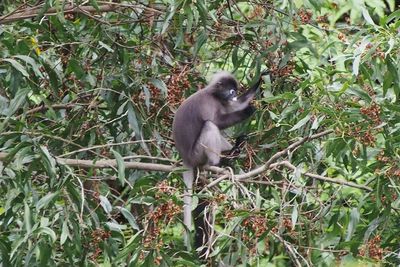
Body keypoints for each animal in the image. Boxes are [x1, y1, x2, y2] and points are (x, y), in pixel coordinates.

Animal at [171, 70, 268, 254]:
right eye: (231, 90)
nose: (233, 94)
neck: (214, 95)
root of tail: (185, 158)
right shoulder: (208, 103)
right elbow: (218, 121)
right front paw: (249, 110)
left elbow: (236, 106)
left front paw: (261, 80)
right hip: (197, 153)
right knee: (210, 125)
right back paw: (220, 161)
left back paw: (235, 151)